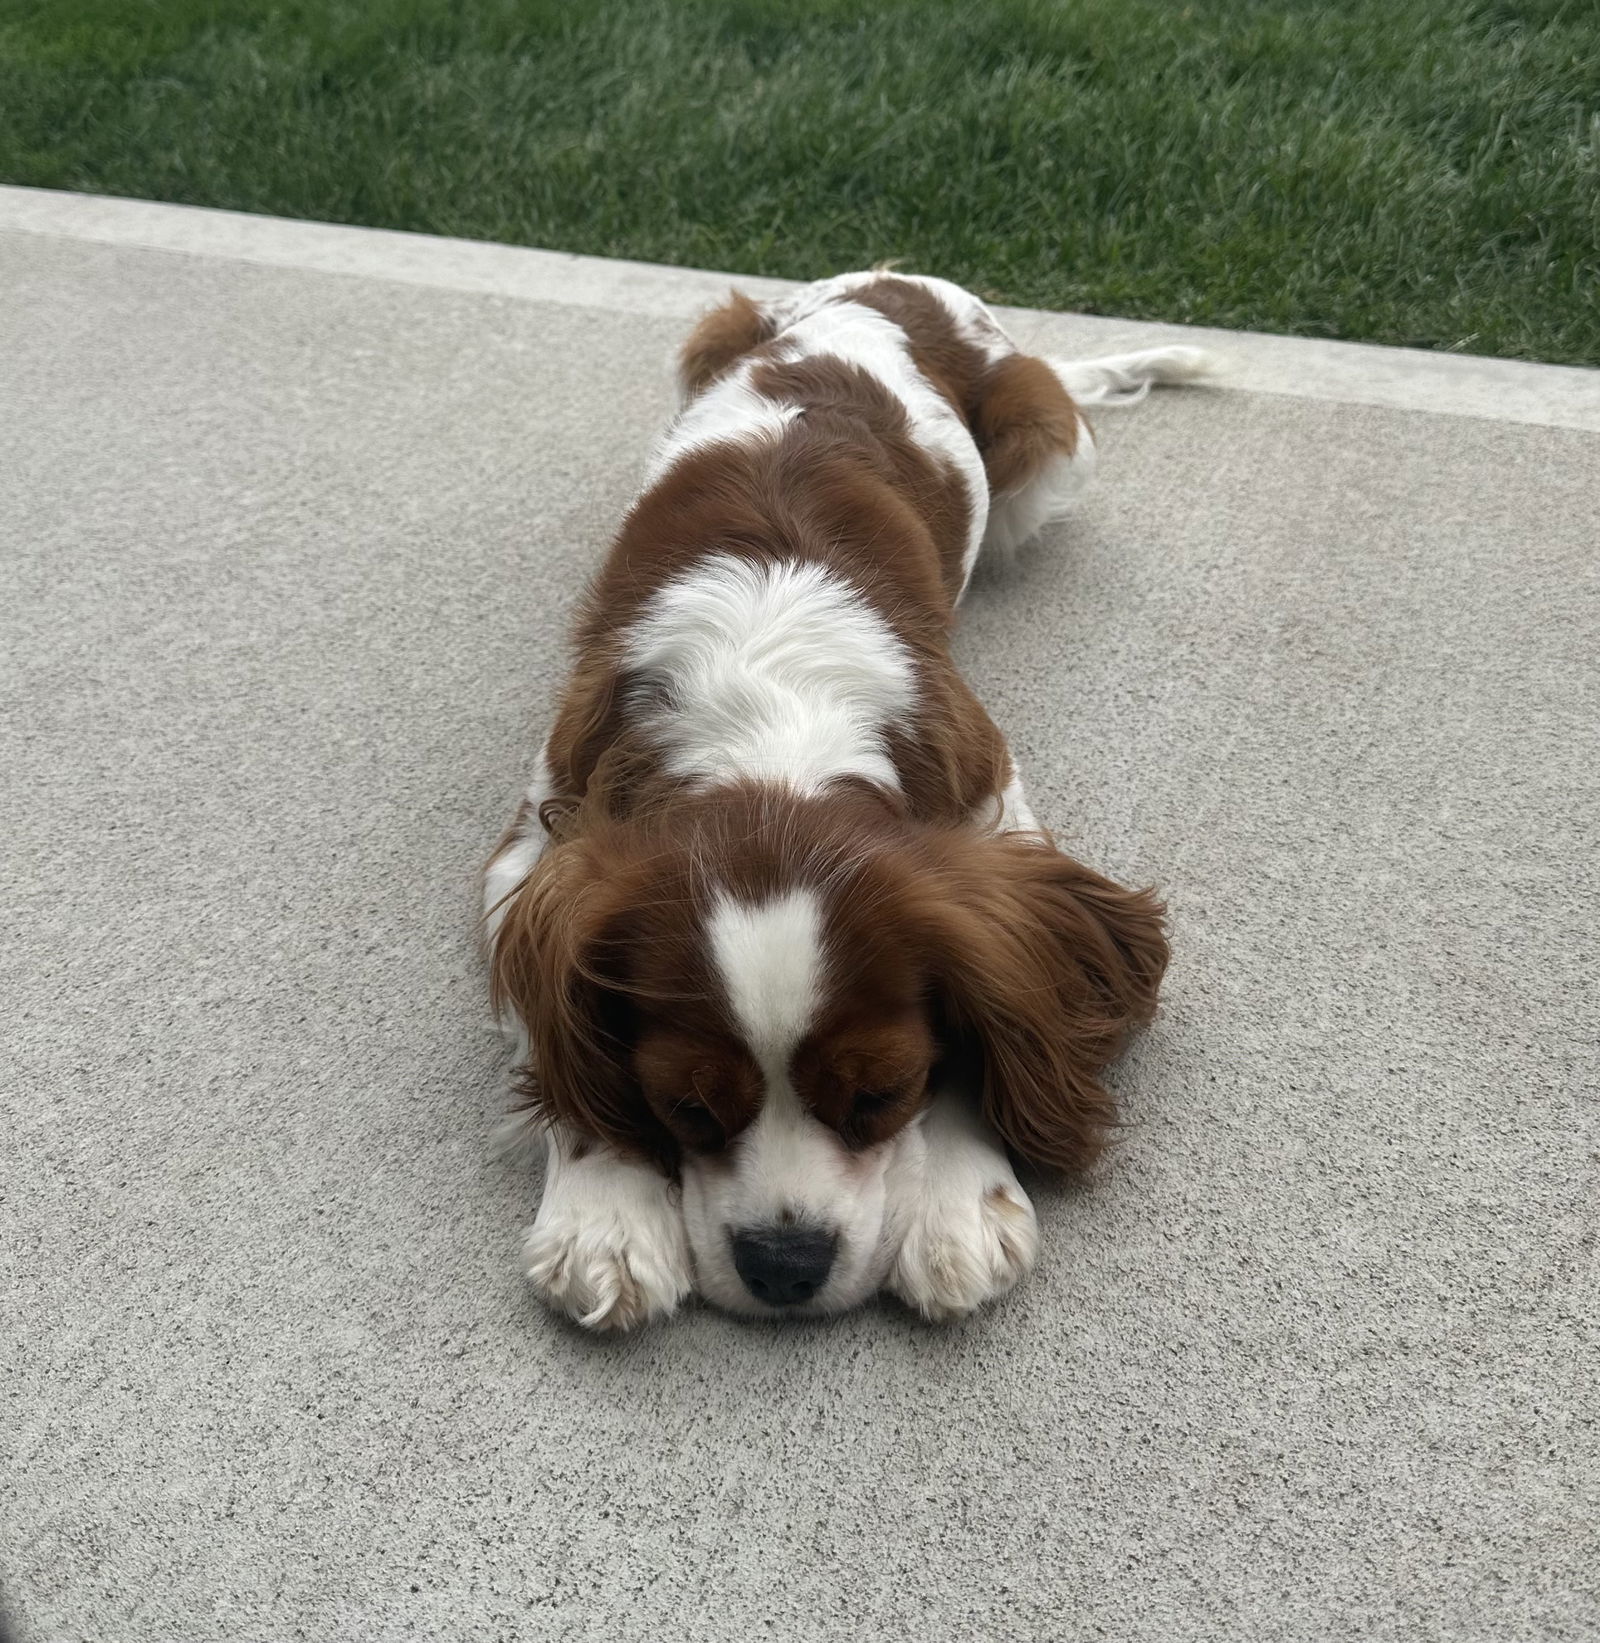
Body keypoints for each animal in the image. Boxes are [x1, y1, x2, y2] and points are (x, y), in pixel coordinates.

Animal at [482, 269, 1209, 1320]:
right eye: (684, 1103)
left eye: (882, 1094)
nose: (785, 1267)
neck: (772, 727)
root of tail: (898, 282)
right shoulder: (540, 837)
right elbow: (558, 1031)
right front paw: (604, 1214)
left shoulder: (990, 802)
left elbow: (994, 989)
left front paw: (959, 1196)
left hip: (1044, 439)